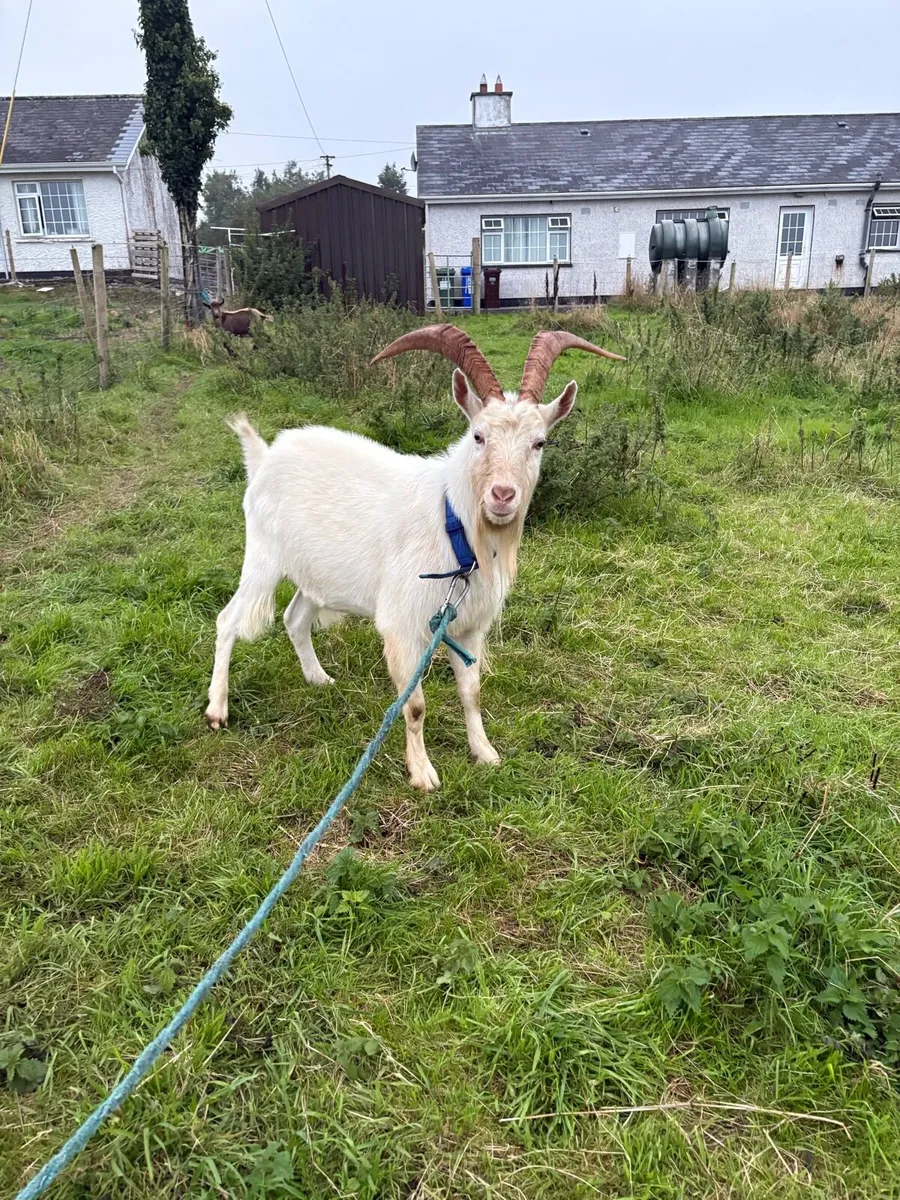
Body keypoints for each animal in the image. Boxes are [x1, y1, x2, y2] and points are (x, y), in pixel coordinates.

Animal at [206, 325, 624, 790]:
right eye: (478, 436)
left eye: (539, 442)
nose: (502, 496)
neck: (453, 526)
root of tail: (264, 456)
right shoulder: (403, 628)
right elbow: (415, 705)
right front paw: (423, 773)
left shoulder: (467, 629)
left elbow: (471, 693)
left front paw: (485, 753)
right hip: (263, 556)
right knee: (228, 619)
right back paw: (218, 710)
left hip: (317, 574)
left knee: (295, 618)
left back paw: (319, 679)